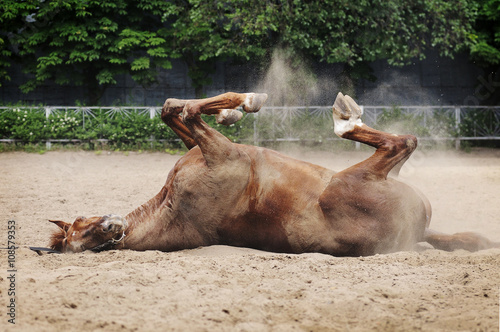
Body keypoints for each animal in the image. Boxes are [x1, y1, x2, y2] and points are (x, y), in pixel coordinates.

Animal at [48, 92, 498, 255]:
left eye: (81, 222)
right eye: (81, 241)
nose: (112, 225)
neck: (172, 208)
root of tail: (415, 231)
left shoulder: (206, 148)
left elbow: (173, 110)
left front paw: (232, 110)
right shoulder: (222, 153)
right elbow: (187, 111)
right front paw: (247, 101)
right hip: (349, 182)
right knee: (402, 142)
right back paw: (344, 118)